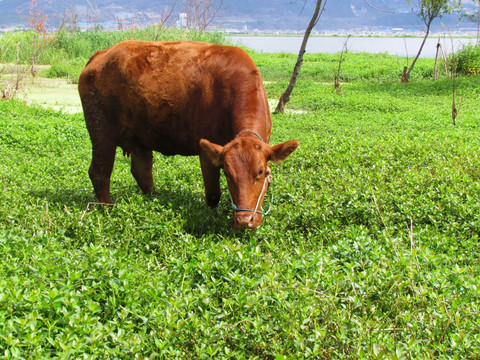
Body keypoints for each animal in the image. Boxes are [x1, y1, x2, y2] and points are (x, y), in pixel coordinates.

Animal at [79, 40, 298, 229]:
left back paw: (155, 200)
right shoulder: (207, 151)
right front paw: (210, 217)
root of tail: (101, 54)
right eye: (227, 173)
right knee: (100, 172)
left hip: (140, 136)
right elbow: (213, 194)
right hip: (101, 130)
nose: (244, 220)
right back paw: (107, 211)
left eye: (261, 172)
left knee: (142, 172)